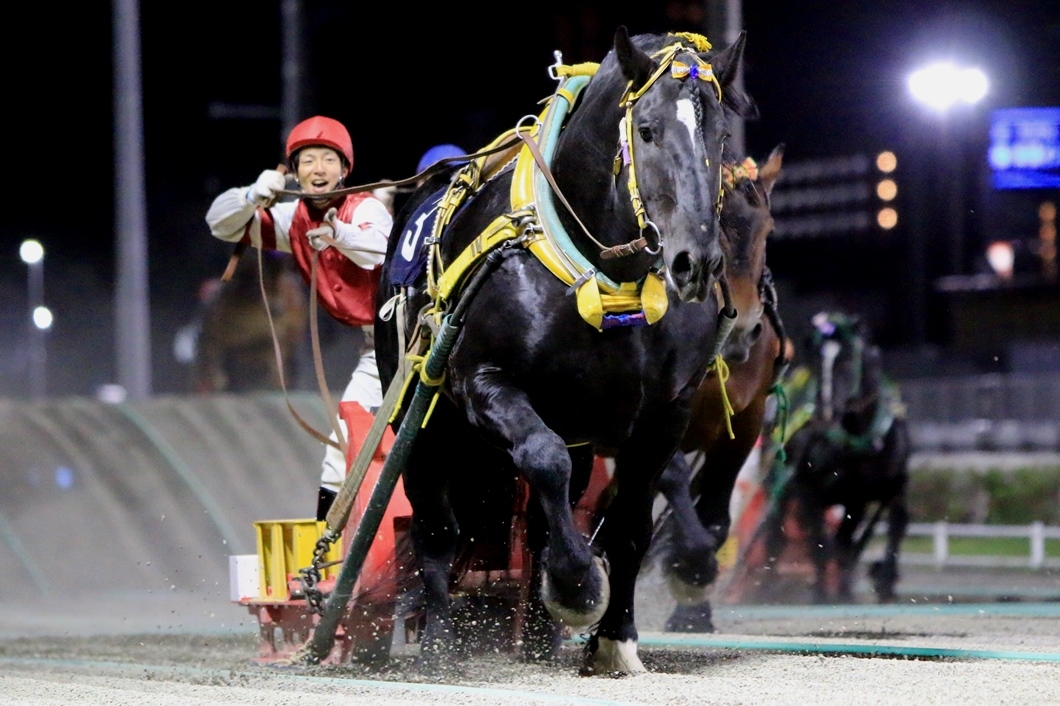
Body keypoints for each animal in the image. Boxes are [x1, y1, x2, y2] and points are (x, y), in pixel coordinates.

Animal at [373, 27, 754, 674]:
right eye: (647, 129)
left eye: (721, 136)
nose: (695, 262)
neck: (603, 276)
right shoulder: (482, 379)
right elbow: (542, 459)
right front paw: (576, 585)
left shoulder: (666, 411)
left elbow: (629, 520)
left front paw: (615, 636)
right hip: (423, 413)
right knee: (436, 524)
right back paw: (440, 644)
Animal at [640, 142, 792, 627]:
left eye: (766, 229)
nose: (743, 329)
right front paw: (691, 565)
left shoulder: (744, 422)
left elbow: (716, 516)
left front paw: (693, 604)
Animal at [758, 311, 915, 602]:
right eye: (816, 363)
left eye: (848, 360)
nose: (825, 409)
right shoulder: (810, 491)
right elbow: (821, 545)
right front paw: (824, 594)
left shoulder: (873, 492)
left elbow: (883, 533)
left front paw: (875, 584)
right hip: (782, 488)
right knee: (777, 535)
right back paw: (769, 586)